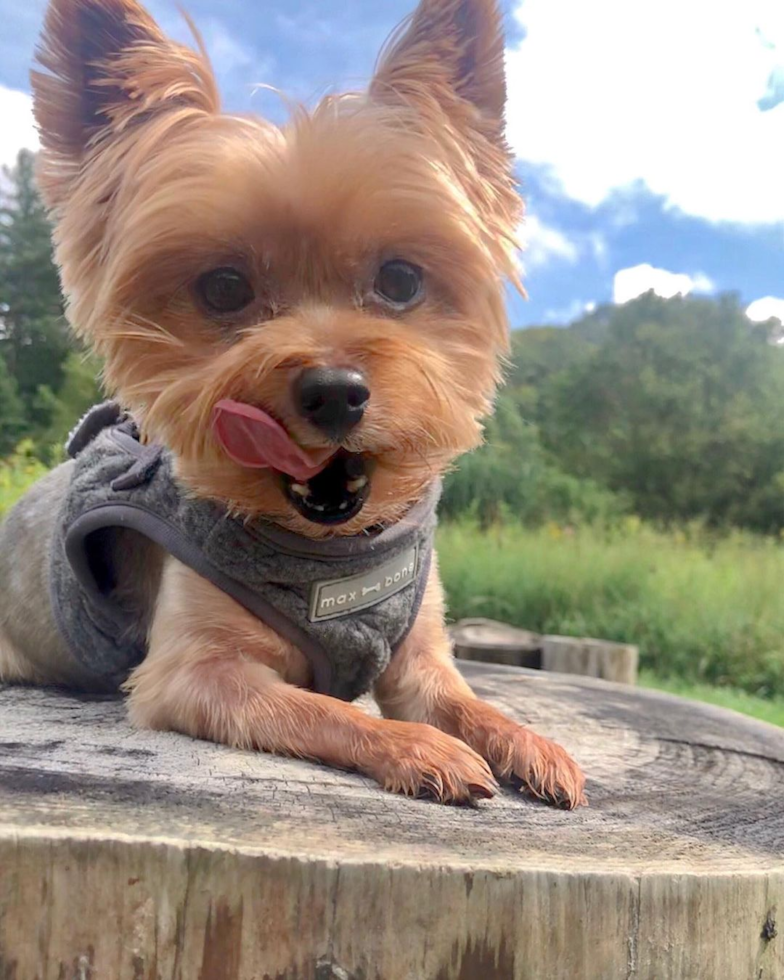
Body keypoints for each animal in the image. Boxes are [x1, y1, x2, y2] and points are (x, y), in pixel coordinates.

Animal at [0, 0, 584, 808]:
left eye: (400, 279)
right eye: (223, 288)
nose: (334, 391)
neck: (327, 551)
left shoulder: (419, 662)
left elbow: (465, 701)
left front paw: (528, 743)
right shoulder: (192, 676)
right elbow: (323, 712)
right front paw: (418, 748)